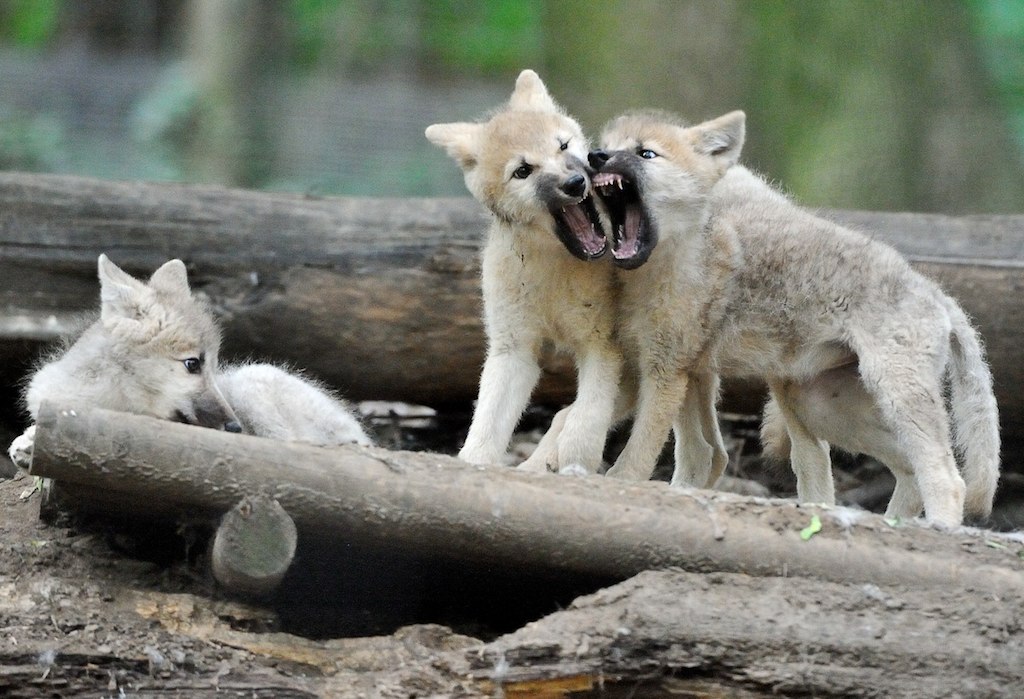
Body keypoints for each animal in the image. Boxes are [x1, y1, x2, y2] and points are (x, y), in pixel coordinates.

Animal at [426, 69, 621, 473]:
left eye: (563, 146)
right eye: (523, 171)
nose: (575, 183)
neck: (555, 270)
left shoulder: (601, 346)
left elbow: (587, 419)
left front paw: (578, 467)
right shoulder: (513, 351)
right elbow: (485, 429)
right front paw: (471, 466)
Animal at [590, 110, 999, 526]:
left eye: (645, 153)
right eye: (605, 144)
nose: (596, 157)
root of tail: (936, 293)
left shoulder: (664, 371)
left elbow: (630, 462)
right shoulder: (664, 369)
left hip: (894, 397)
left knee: (948, 479)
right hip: (817, 406)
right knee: (904, 473)